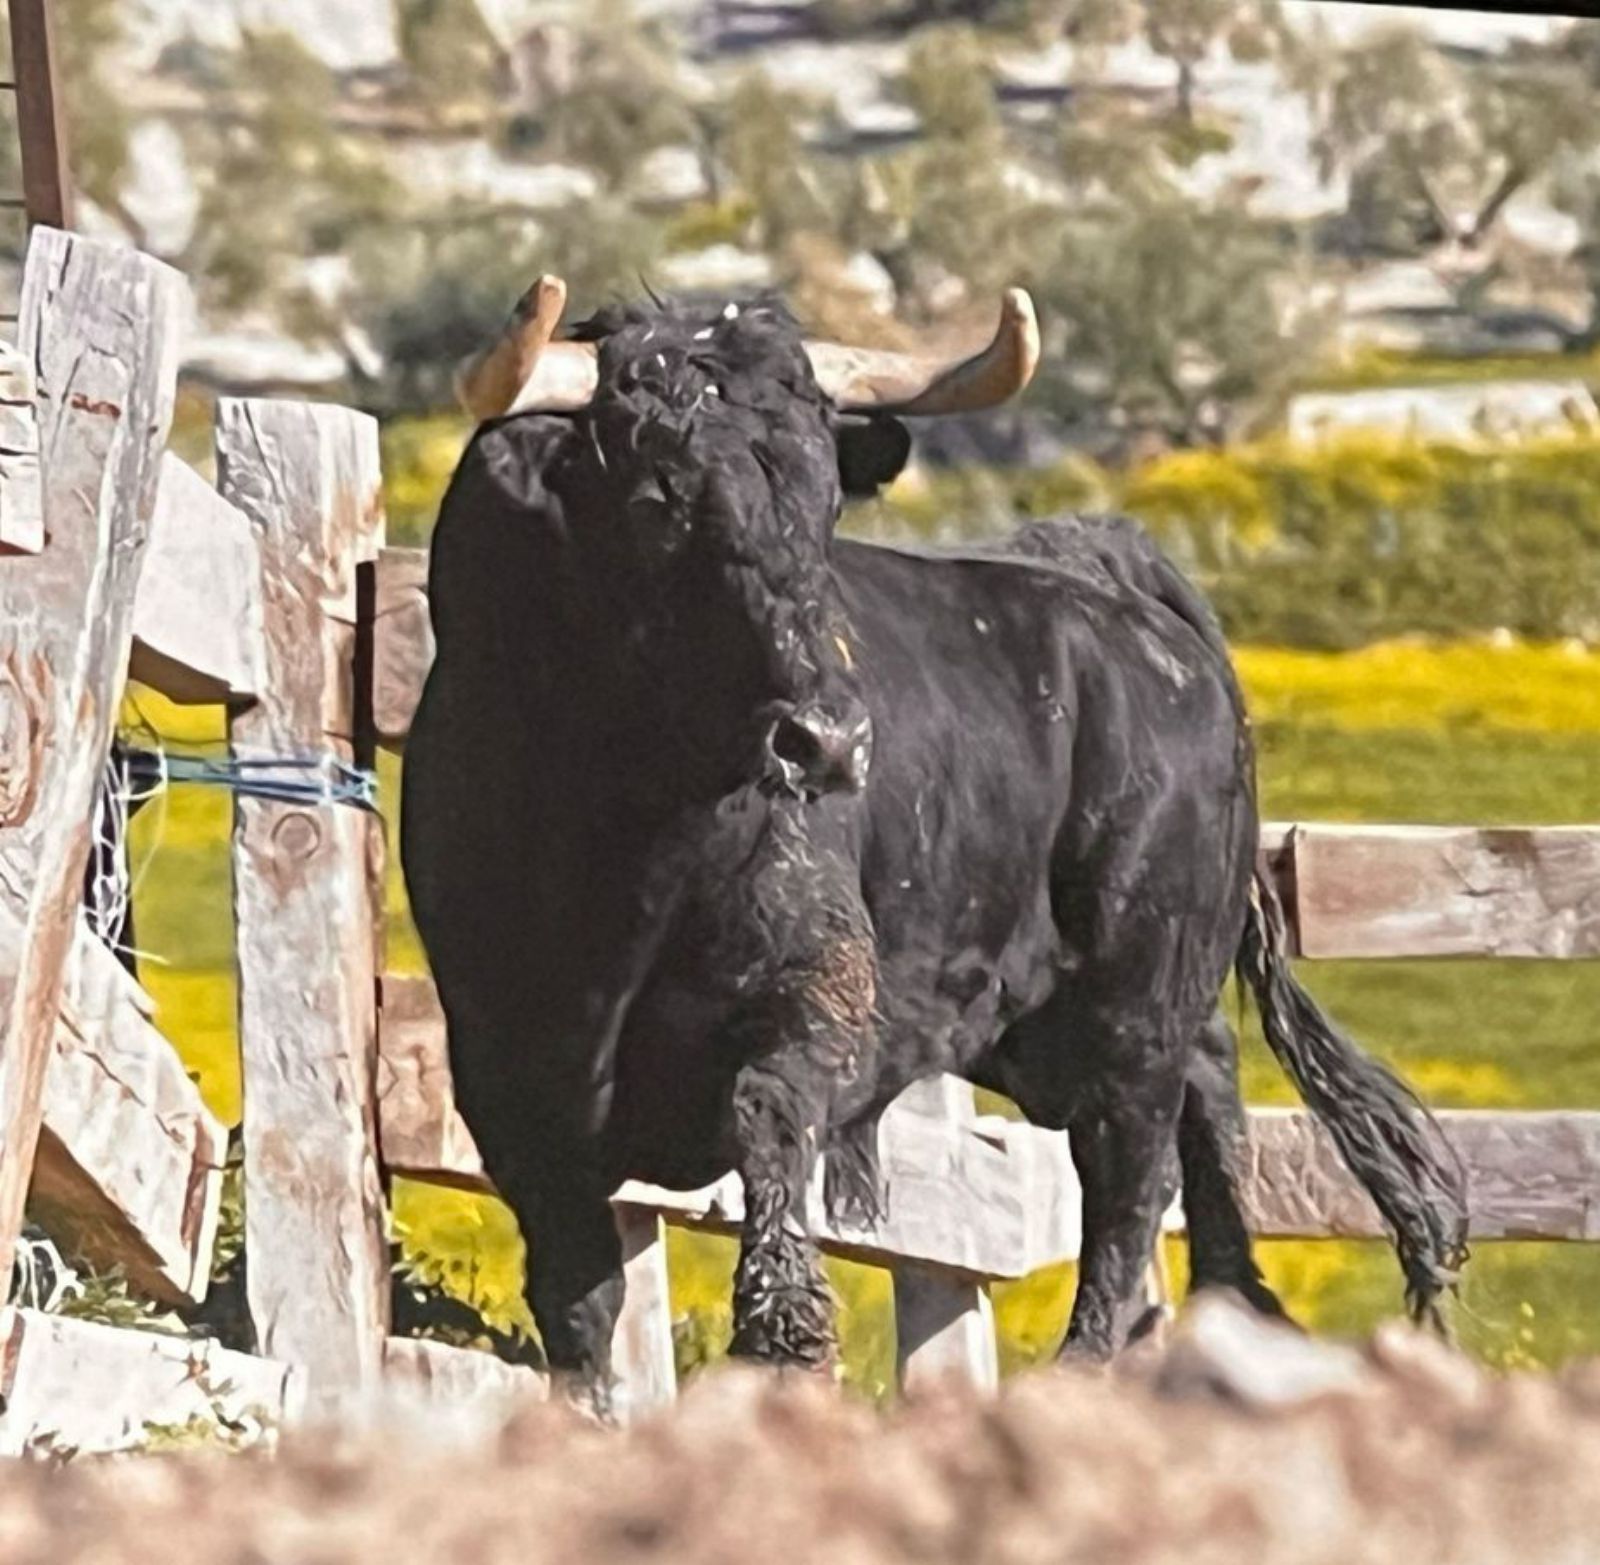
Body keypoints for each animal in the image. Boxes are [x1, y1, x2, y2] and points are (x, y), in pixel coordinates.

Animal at [396, 299, 1465, 1395]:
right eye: (658, 499)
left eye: (827, 501)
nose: (826, 739)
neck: (621, 860)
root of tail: (1105, 578)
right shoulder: (513, 1086)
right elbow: (580, 1309)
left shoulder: (811, 1001)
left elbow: (773, 1202)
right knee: (1206, 1095)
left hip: (1139, 1001)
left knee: (1131, 1180)